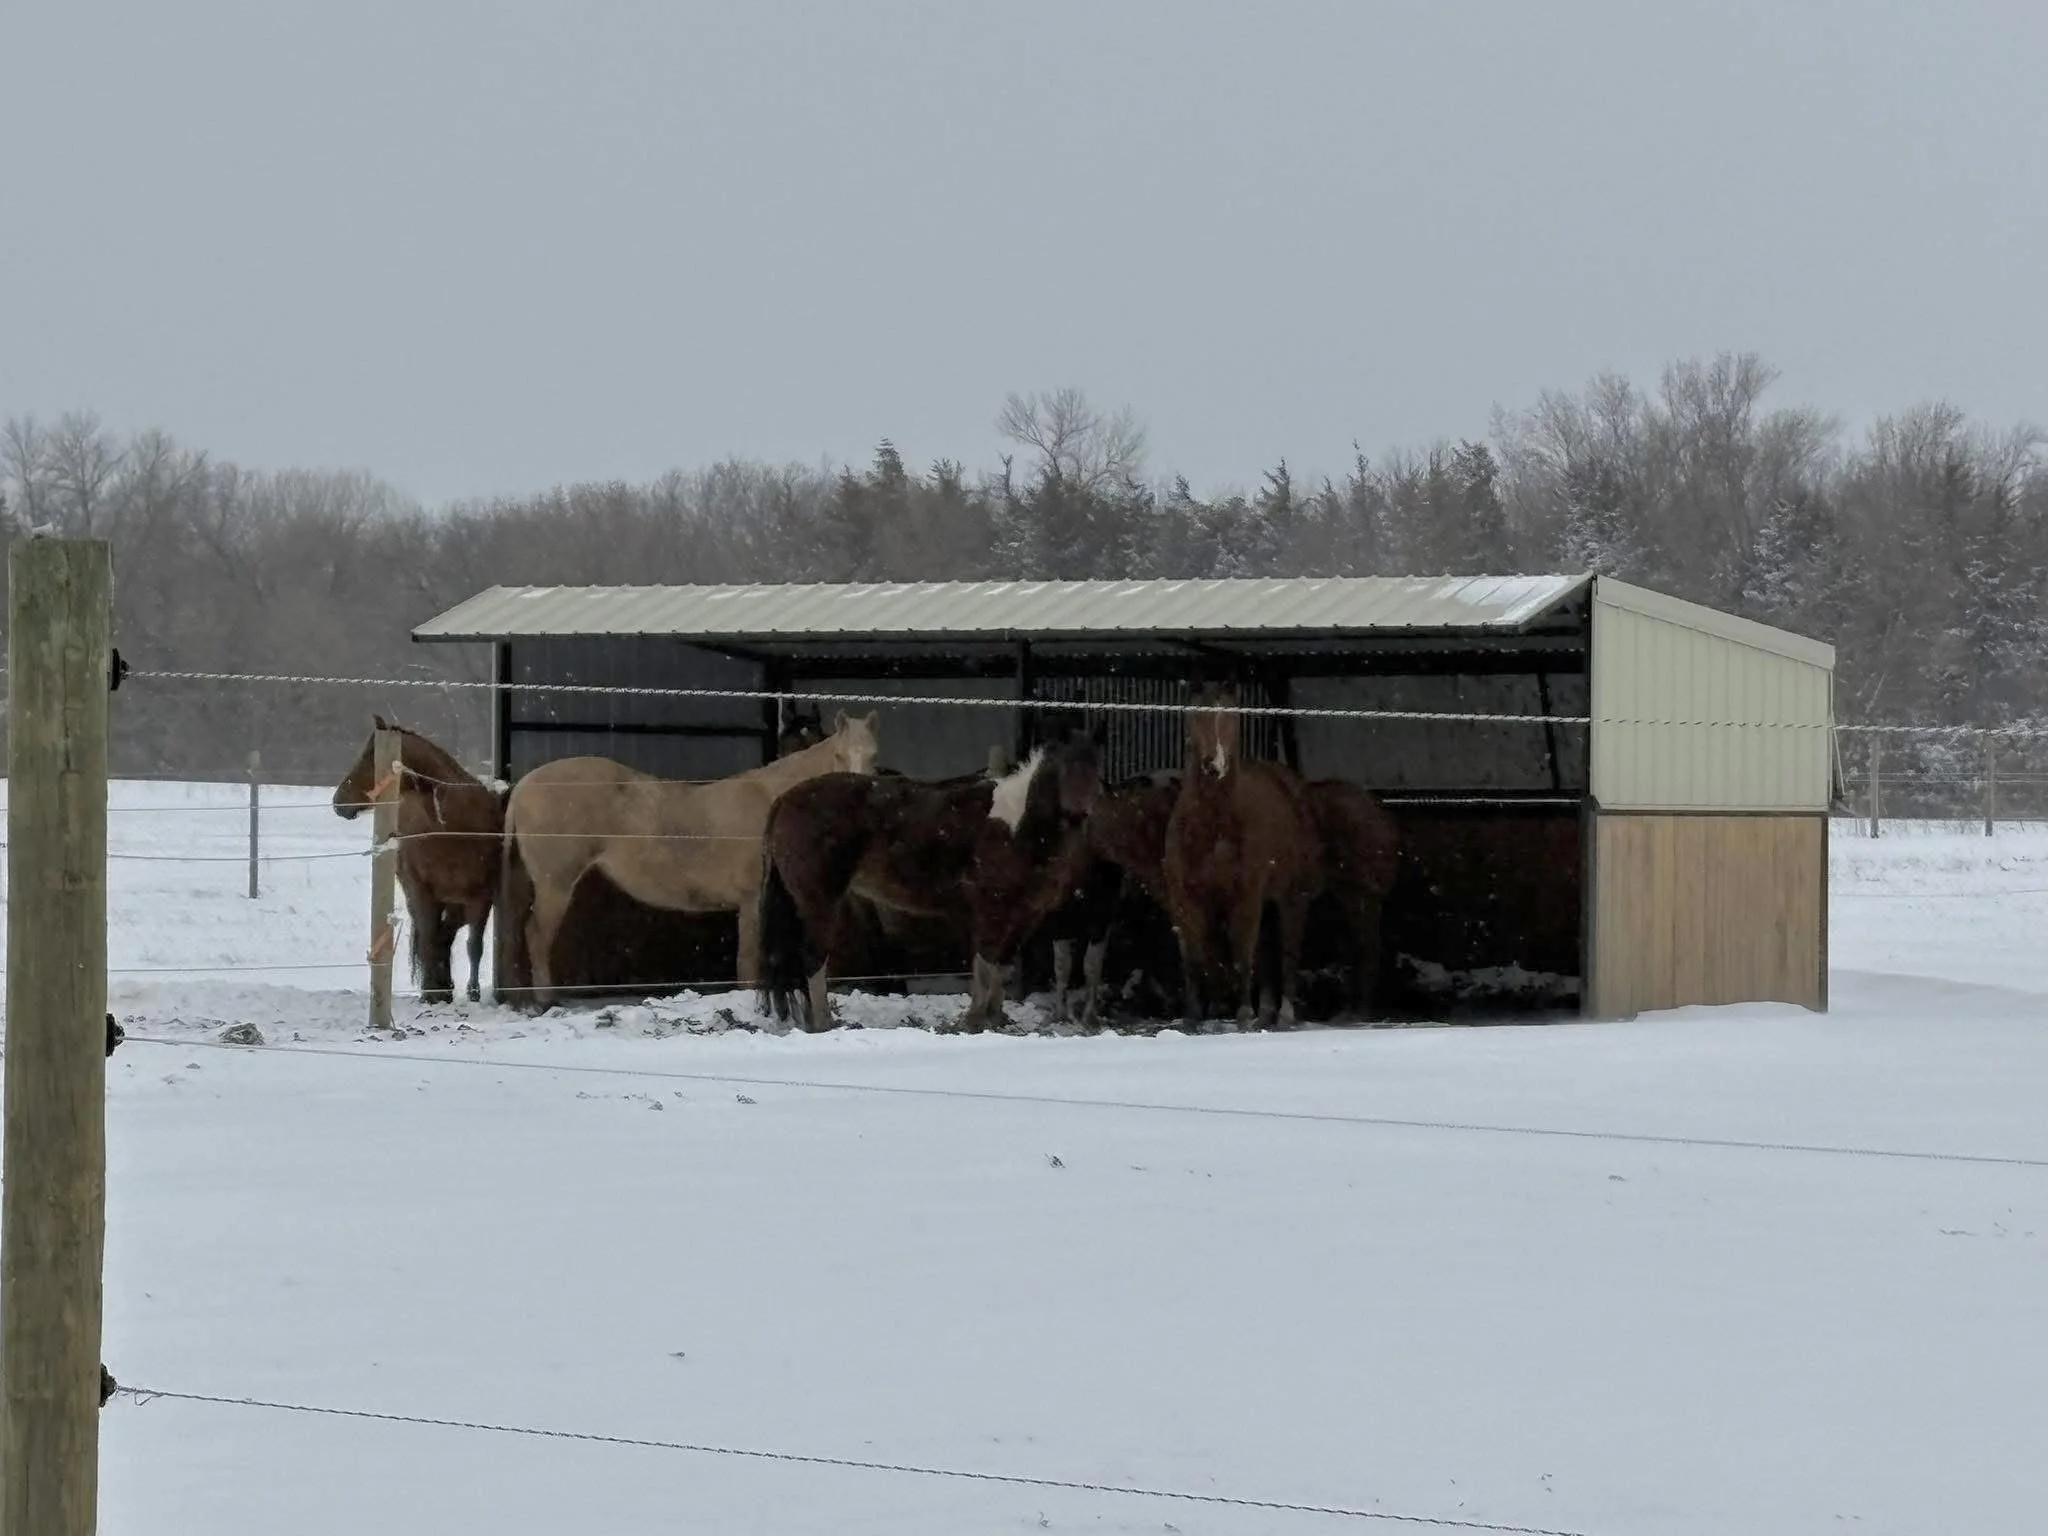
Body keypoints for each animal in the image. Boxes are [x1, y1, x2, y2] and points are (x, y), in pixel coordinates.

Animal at [332, 716, 506, 1005]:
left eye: (370, 756)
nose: (338, 802)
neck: (451, 828)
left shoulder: (481, 897)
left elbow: (473, 945)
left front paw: (471, 993)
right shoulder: (423, 892)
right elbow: (428, 939)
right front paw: (431, 992)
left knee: (446, 935)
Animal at [499, 710, 880, 1009]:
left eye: (874, 757)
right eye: (839, 756)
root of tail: (524, 784)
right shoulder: (752, 901)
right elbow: (748, 962)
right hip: (555, 885)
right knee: (537, 935)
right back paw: (546, 1001)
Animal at [757, 729, 1103, 1034]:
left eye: (1096, 770)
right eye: (1063, 769)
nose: (1084, 812)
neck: (1016, 826)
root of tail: (783, 801)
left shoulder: (1022, 917)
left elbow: (1001, 969)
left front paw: (995, 1019)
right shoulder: (991, 910)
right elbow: (985, 966)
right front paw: (974, 1020)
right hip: (820, 902)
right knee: (813, 958)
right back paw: (824, 1023)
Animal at [1160, 683, 1324, 1030]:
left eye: (1232, 717)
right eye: (1195, 715)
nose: (1214, 764)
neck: (1214, 828)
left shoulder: (1246, 895)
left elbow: (1242, 953)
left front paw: (1243, 1013)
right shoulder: (1185, 897)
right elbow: (1194, 955)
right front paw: (1193, 1016)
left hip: (1293, 897)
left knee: (1288, 951)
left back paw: (1283, 1013)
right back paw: (1266, 1011)